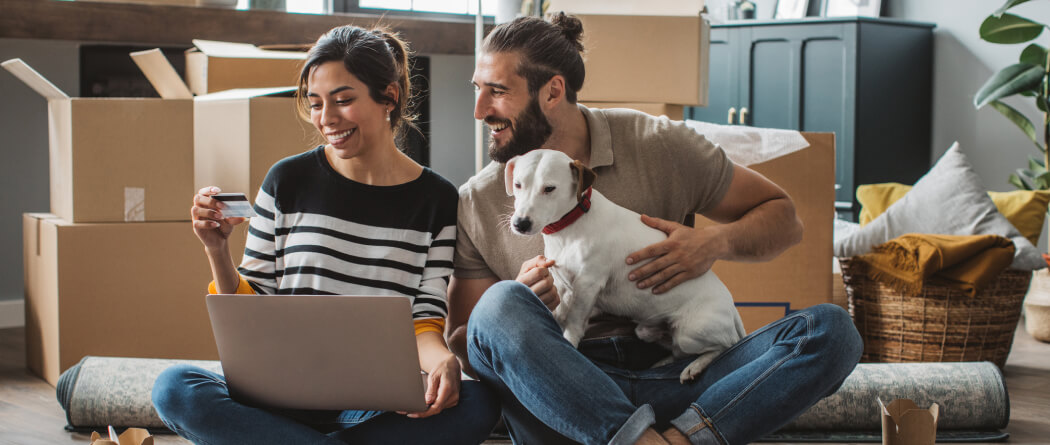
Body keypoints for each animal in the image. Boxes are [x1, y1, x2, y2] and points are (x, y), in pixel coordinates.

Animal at [508, 149, 747, 382]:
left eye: (549, 188)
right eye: (518, 184)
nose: (520, 224)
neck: (570, 226)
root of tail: (732, 309)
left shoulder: (587, 285)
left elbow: (574, 321)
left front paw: (569, 342)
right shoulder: (564, 285)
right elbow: (559, 311)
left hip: (690, 333)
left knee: (724, 345)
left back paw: (695, 366)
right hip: (648, 331)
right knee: (676, 350)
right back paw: (664, 362)